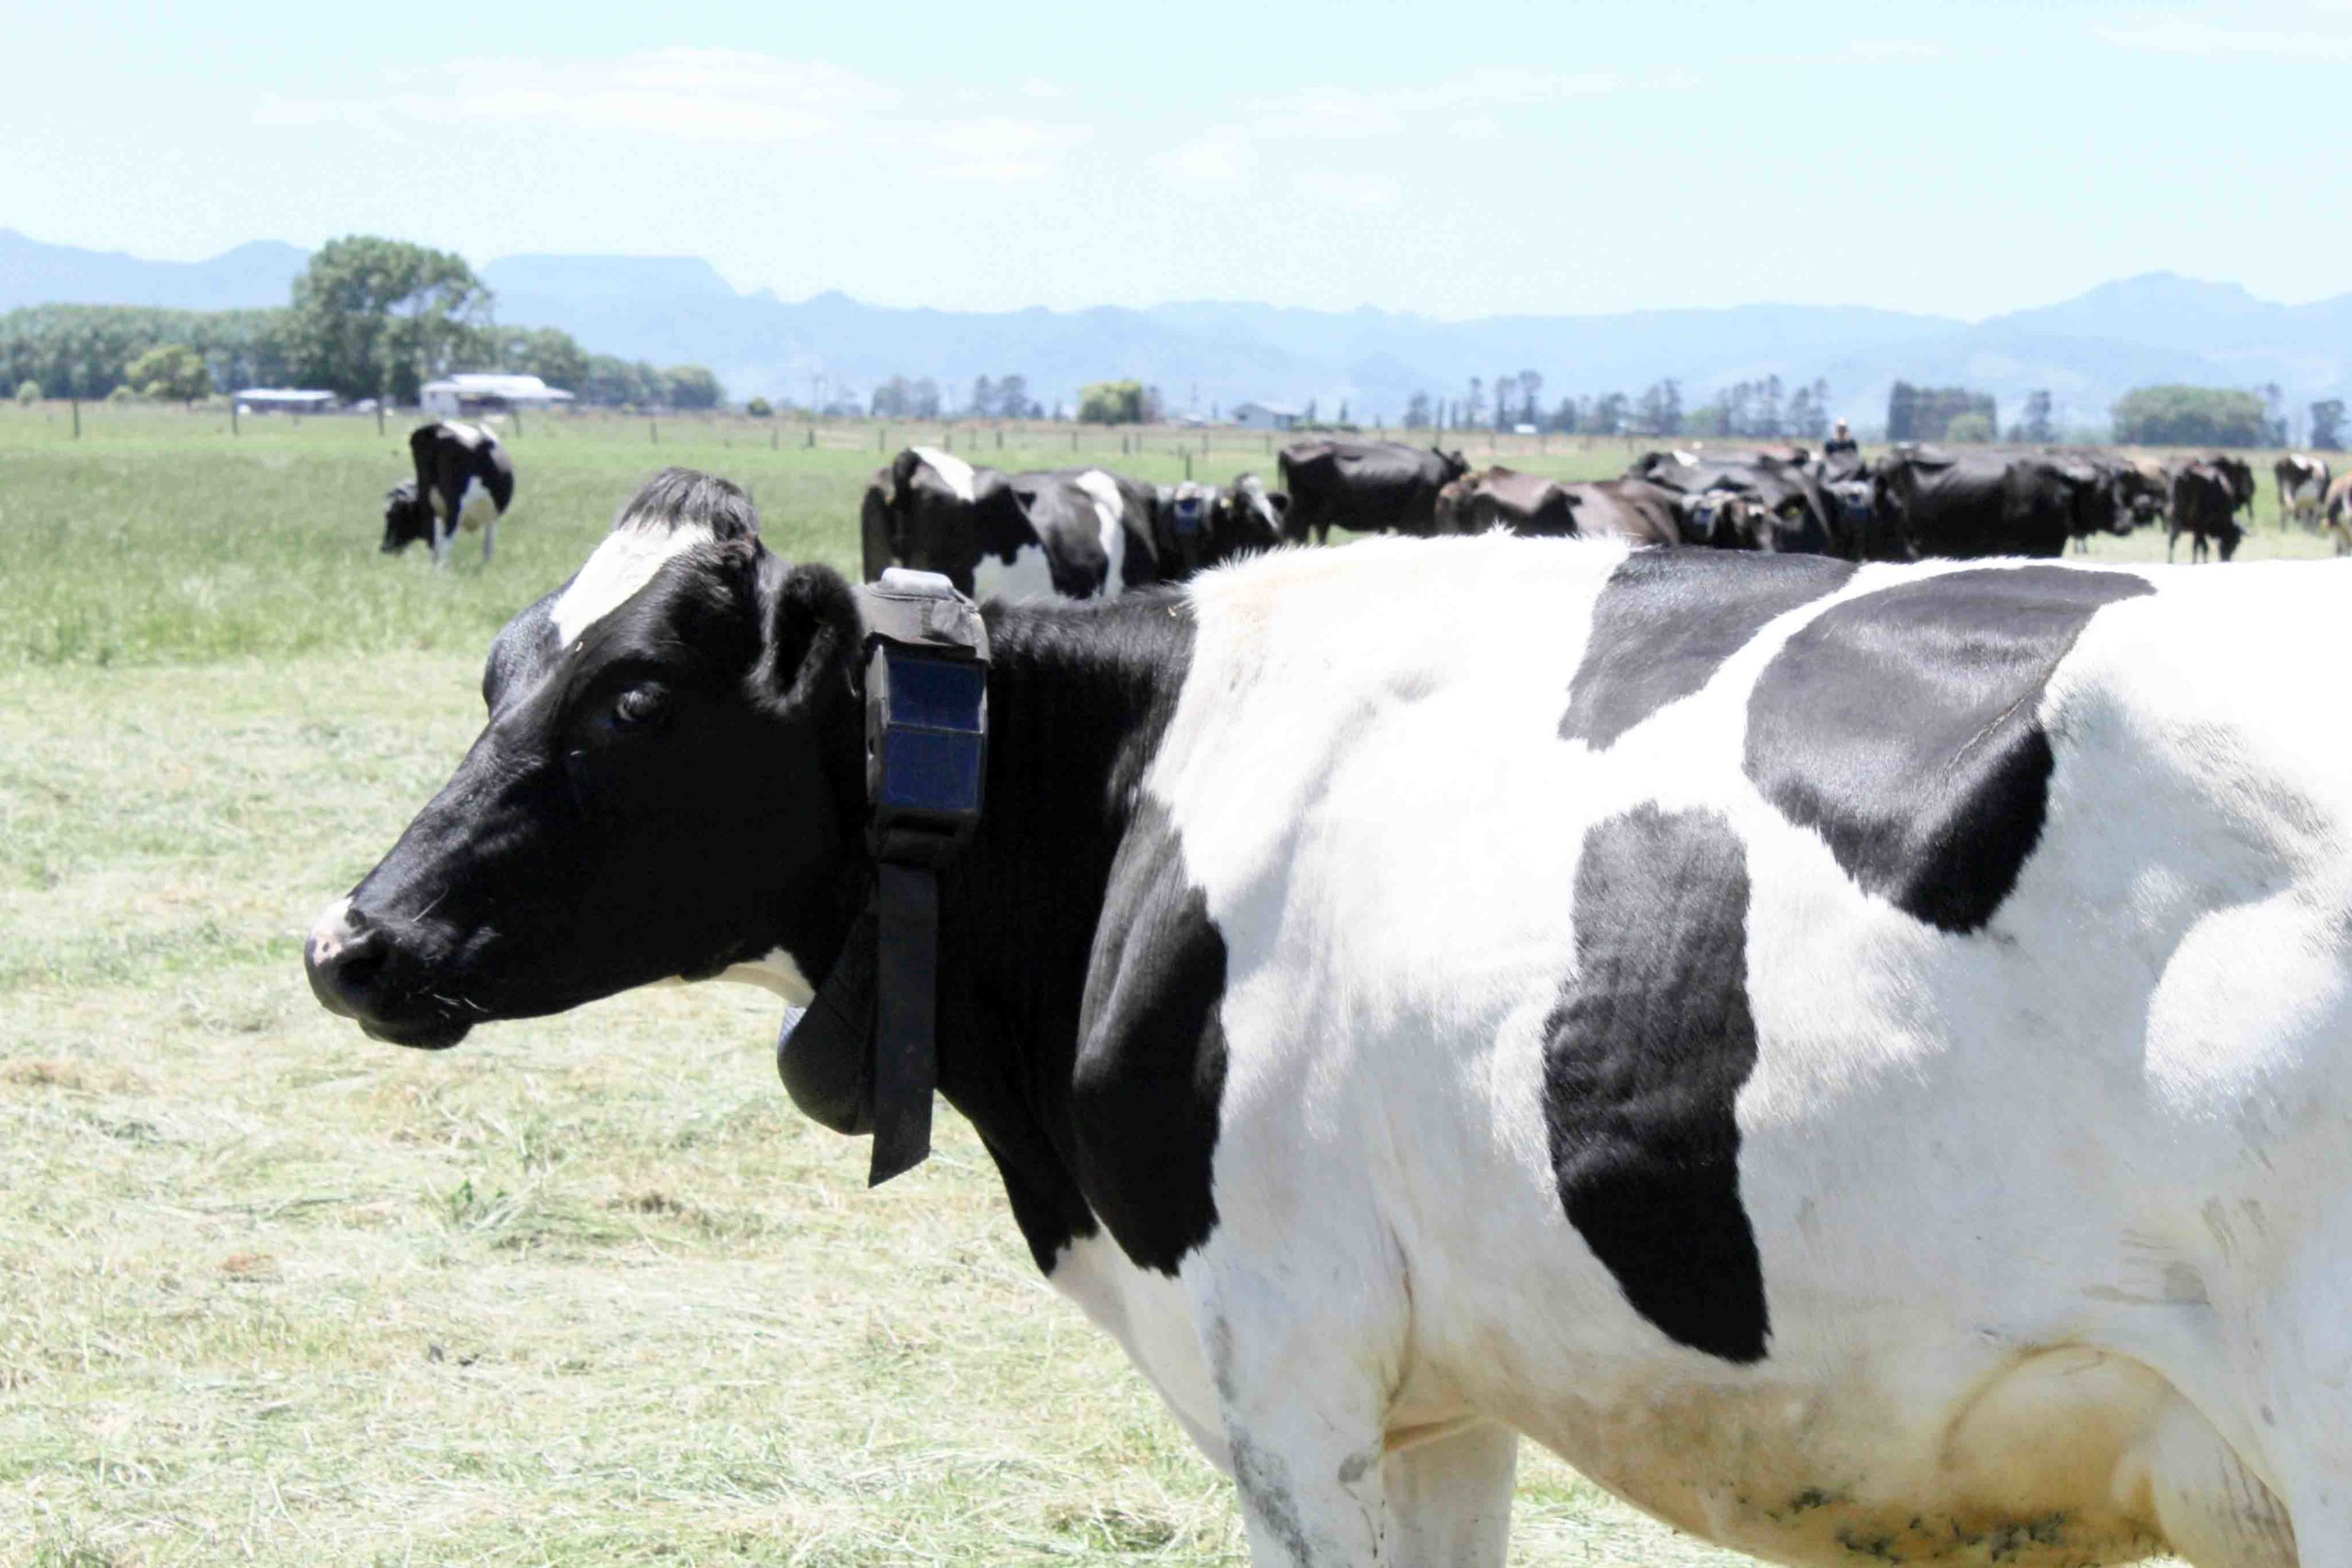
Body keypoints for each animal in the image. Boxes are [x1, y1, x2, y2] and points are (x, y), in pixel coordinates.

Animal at [380, 421, 514, 566]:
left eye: (394, 516)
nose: (384, 548)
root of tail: (437, 429)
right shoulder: (492, 517)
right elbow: (487, 547)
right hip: (455, 507)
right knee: (446, 543)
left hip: (429, 505)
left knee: (435, 545)